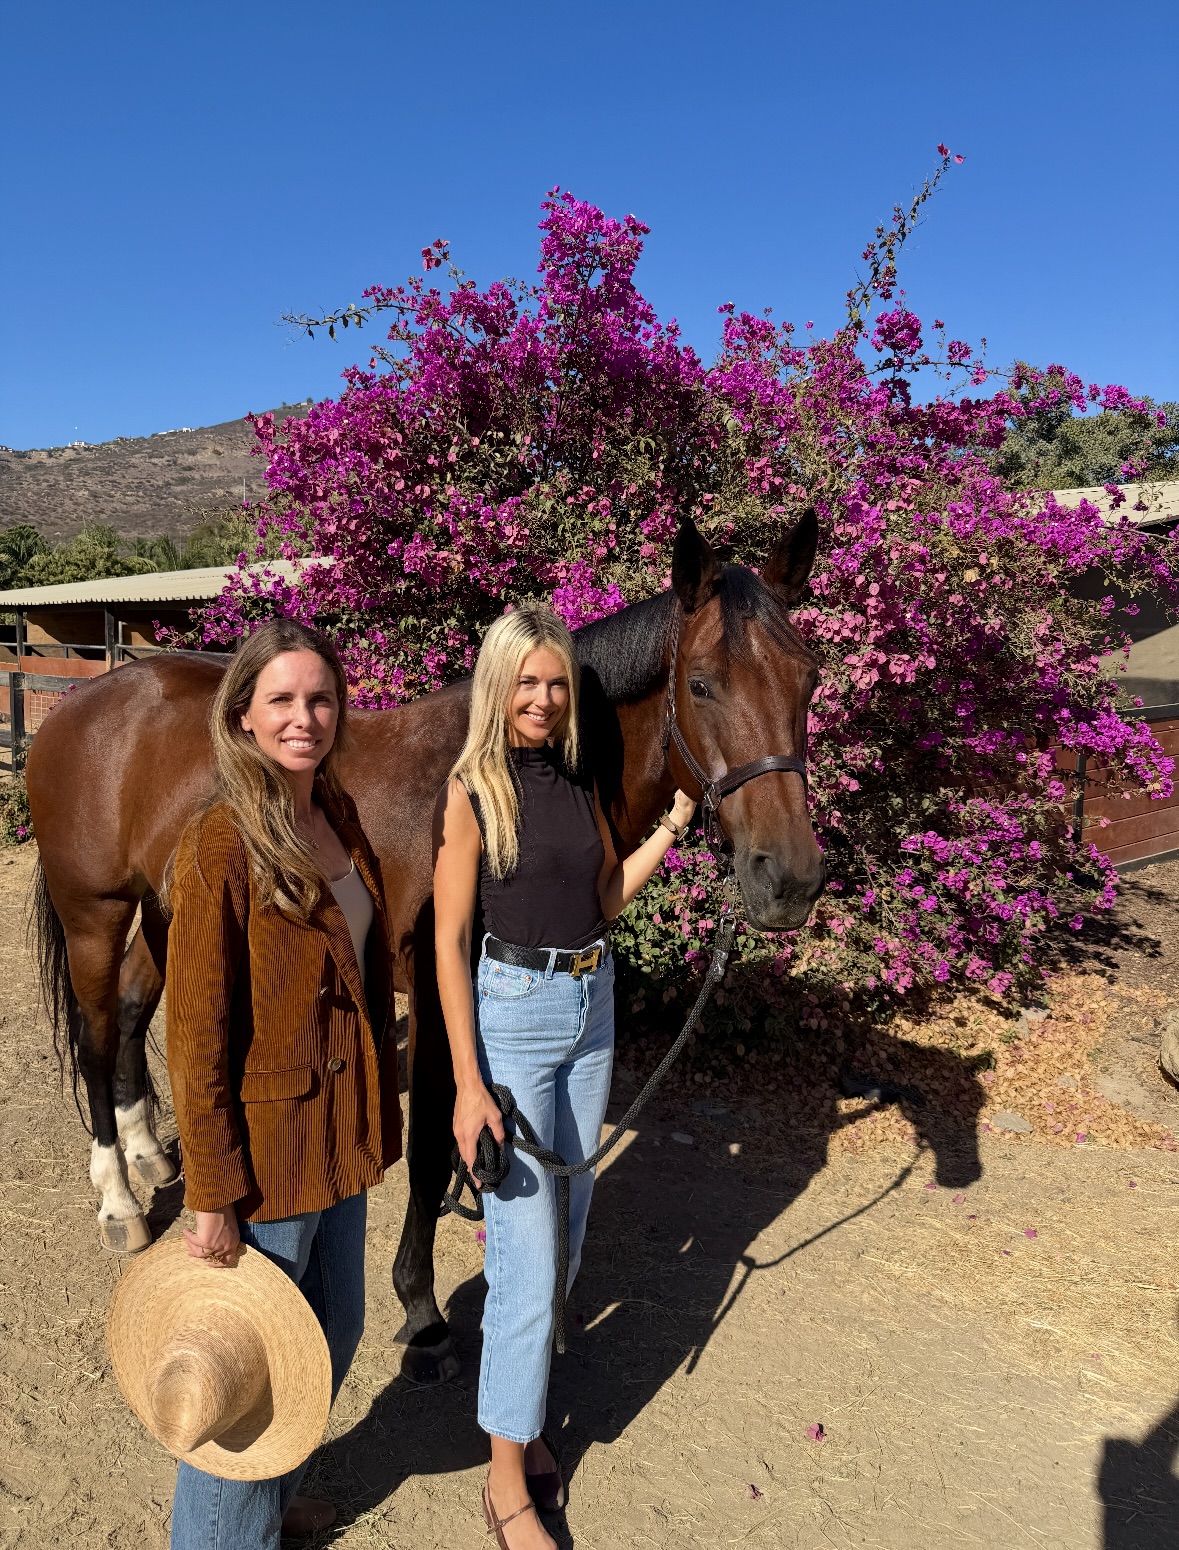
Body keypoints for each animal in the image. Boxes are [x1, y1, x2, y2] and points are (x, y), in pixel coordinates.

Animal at [27, 513, 825, 1381]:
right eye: (703, 684)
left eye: (808, 680)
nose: (790, 880)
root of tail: (84, 699)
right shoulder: (446, 1001)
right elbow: (434, 1148)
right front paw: (422, 1309)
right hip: (94, 914)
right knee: (96, 1037)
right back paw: (119, 1200)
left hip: (167, 913)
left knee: (137, 1011)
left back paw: (151, 1153)